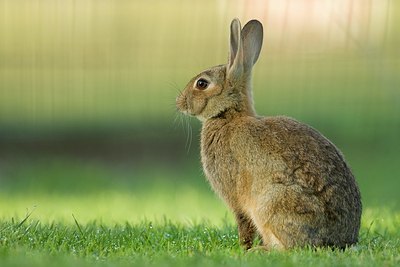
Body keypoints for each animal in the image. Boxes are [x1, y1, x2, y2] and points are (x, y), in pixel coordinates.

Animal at [176, 18, 362, 251]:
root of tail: (339, 241)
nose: (179, 103)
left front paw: (244, 248)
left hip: (271, 203)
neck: (229, 115)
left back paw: (260, 250)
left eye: (201, 83)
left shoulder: (235, 197)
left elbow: (243, 223)